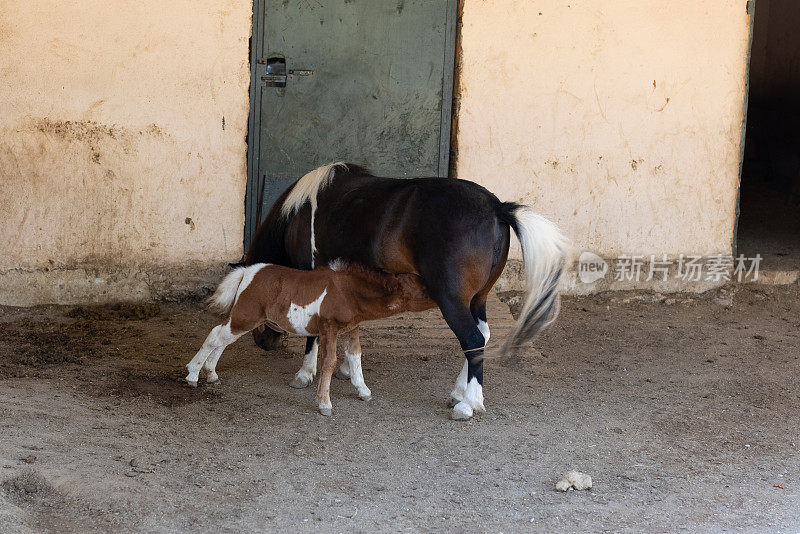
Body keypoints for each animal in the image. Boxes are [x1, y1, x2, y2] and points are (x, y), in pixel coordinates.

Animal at [184, 262, 434, 416]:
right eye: (422, 291)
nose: (441, 298)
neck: (347, 293)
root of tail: (248, 271)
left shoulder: (352, 328)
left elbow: (355, 356)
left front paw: (363, 391)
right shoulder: (329, 329)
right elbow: (329, 361)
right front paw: (325, 403)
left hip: (247, 319)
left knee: (224, 339)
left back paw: (211, 374)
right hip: (246, 316)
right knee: (216, 335)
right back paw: (193, 375)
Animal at [247, 161, 564, 420]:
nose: (263, 342)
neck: (297, 215)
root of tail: (497, 207)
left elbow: (315, 333)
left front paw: (305, 373)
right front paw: (348, 371)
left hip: (452, 300)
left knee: (472, 338)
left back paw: (468, 404)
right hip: (478, 298)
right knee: (481, 337)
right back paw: (459, 393)